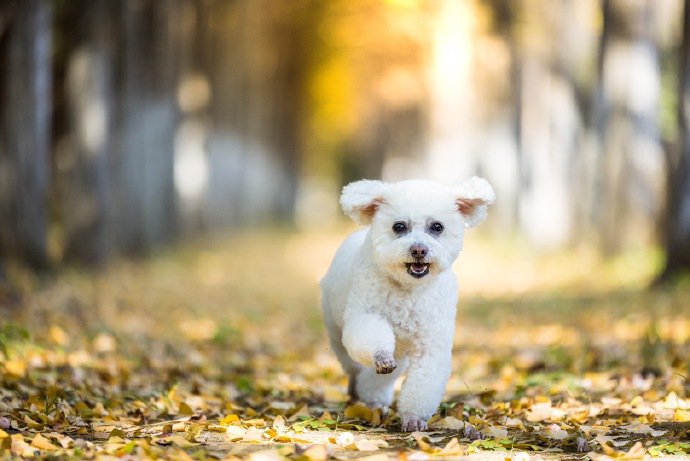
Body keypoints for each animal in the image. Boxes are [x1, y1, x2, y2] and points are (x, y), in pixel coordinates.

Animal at [320, 177, 492, 432]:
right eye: (399, 226)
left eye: (437, 227)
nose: (419, 249)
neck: (408, 290)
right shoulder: (365, 316)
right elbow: (373, 340)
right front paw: (381, 355)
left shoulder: (430, 343)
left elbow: (423, 382)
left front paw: (413, 418)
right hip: (336, 334)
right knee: (353, 366)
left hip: (401, 354)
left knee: (380, 378)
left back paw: (374, 400)